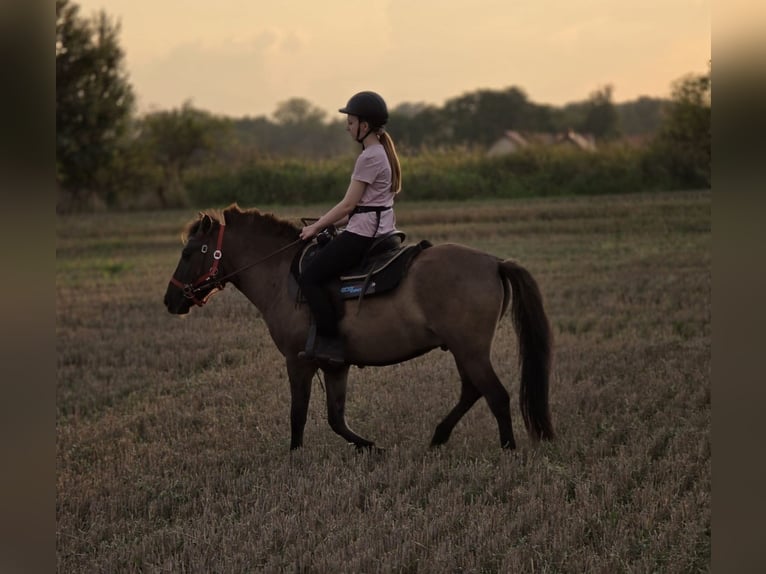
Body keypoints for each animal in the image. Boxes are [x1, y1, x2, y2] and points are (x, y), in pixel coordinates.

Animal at [163, 204, 555, 451]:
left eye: (187, 253)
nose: (170, 300)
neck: (280, 274)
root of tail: (495, 263)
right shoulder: (335, 365)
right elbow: (336, 418)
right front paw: (372, 447)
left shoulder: (298, 362)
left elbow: (298, 414)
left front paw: (294, 456)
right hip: (463, 350)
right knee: (473, 392)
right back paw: (438, 438)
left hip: (470, 349)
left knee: (496, 395)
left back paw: (507, 449)